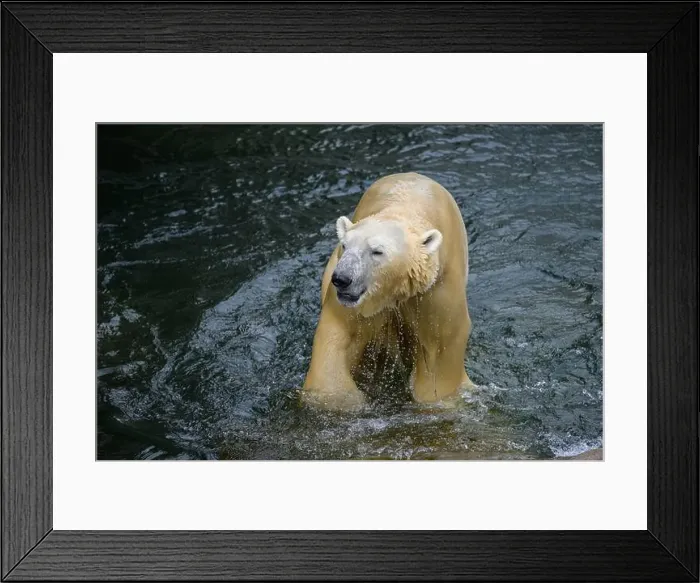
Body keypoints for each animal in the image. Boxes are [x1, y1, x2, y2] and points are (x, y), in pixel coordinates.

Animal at [302, 172, 473, 411]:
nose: (342, 279)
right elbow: (338, 334)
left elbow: (439, 349)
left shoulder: (436, 291)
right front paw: (335, 399)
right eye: (345, 245)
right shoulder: (356, 301)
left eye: (377, 251)